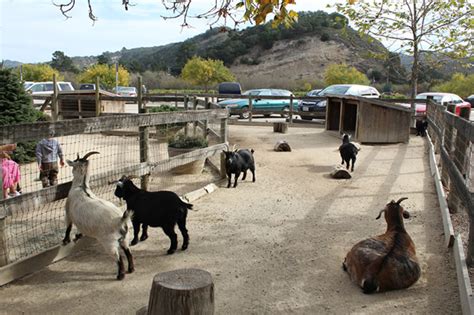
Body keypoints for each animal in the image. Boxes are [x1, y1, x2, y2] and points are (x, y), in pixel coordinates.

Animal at [62, 152, 133, 280]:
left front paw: (66, 240)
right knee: (128, 252)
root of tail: (120, 221)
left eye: (74, 161)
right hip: (125, 237)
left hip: (108, 242)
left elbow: (68, 226)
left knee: (118, 257)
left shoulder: (68, 211)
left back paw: (120, 275)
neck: (81, 186)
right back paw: (131, 269)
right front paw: (78, 235)